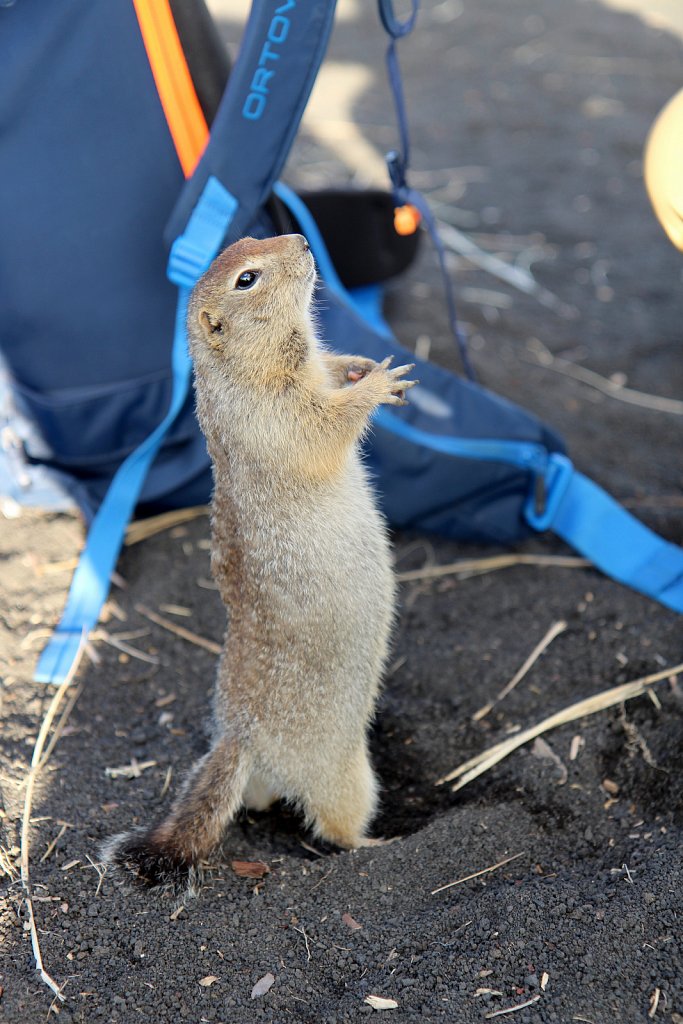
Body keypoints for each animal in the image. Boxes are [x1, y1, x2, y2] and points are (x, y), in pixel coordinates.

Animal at [103, 234, 413, 888]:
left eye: (243, 240)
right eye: (247, 277)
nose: (300, 238)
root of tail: (240, 739)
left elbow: (335, 372)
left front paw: (363, 367)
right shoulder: (276, 412)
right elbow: (324, 424)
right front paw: (376, 385)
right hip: (345, 772)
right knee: (336, 824)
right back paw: (376, 842)